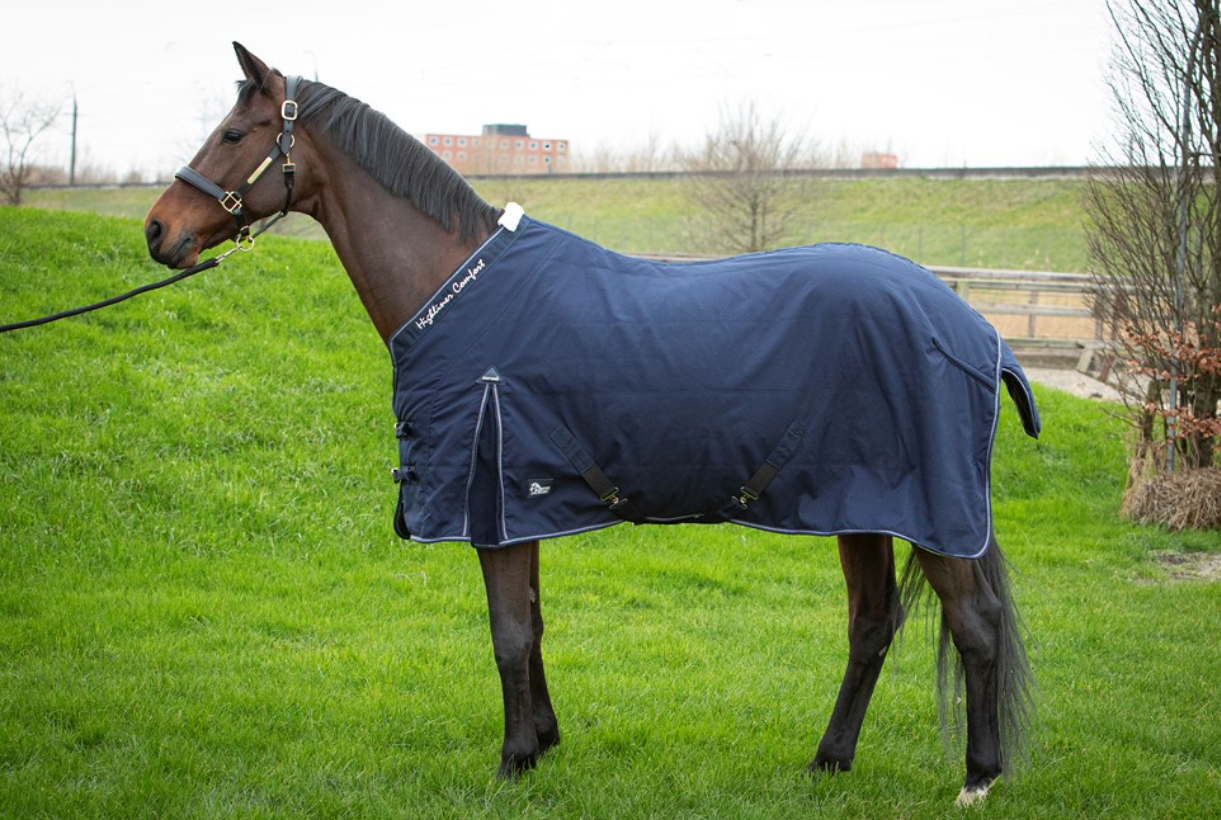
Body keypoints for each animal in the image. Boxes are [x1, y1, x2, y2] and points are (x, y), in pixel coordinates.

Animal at [144, 43, 1037, 807]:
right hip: (861, 509)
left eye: (233, 133)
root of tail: (970, 325)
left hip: (932, 514)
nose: (158, 230)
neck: (455, 286)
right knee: (871, 625)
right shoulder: (516, 502)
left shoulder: (491, 498)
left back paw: (977, 778)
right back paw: (829, 760)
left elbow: (508, 631)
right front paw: (542, 741)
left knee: (974, 627)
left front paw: (510, 762)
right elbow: (534, 624)